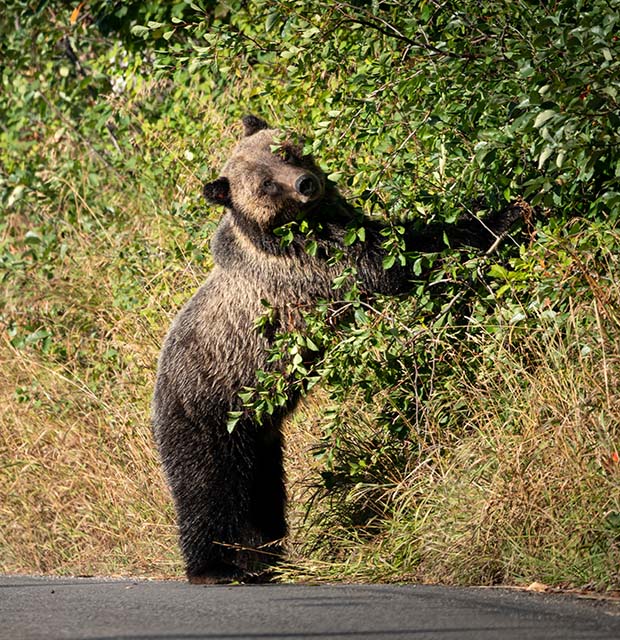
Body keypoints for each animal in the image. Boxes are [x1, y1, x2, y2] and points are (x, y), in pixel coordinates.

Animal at [153, 115, 524, 584]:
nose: (306, 184)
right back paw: (214, 566)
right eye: (265, 184)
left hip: (260, 433)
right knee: (208, 487)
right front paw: (504, 218)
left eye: (285, 151)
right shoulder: (308, 263)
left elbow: (399, 232)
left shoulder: (341, 221)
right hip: (213, 409)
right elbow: (388, 262)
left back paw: (264, 557)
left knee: (263, 494)